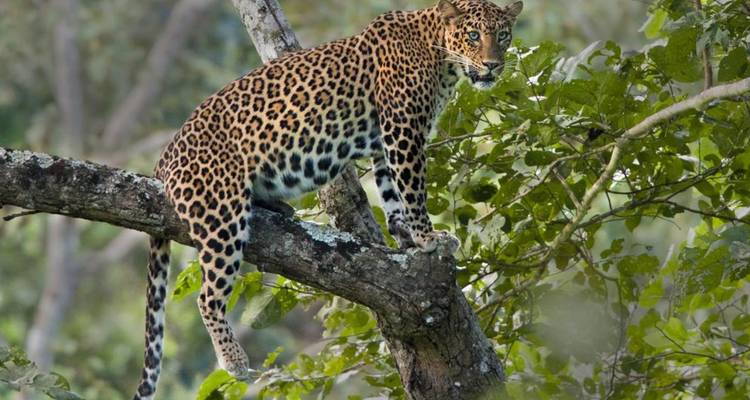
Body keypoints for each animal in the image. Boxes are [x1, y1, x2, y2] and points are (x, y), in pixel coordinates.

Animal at [133, 0, 522, 398]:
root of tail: (165, 157)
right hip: (220, 213)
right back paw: (234, 359)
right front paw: (429, 237)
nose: (493, 65)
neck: (440, 55)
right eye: (472, 35)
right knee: (208, 295)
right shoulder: (402, 131)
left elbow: (392, 193)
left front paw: (406, 237)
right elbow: (412, 189)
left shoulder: (385, 141)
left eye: (503, 35)